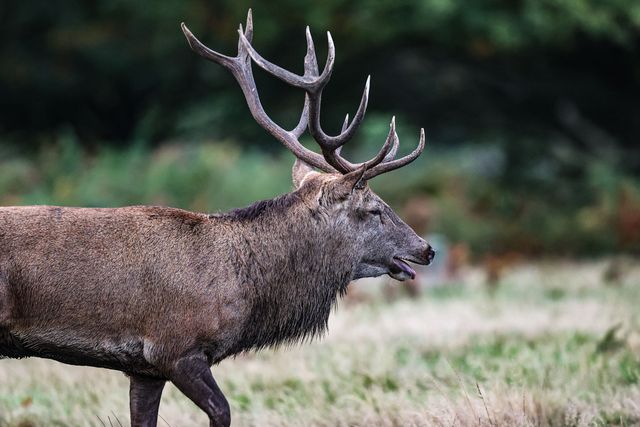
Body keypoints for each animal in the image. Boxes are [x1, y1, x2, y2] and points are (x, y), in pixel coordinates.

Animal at [0, 10, 434, 427]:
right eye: (374, 209)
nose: (427, 249)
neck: (240, 285)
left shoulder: (144, 367)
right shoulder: (176, 347)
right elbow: (222, 411)